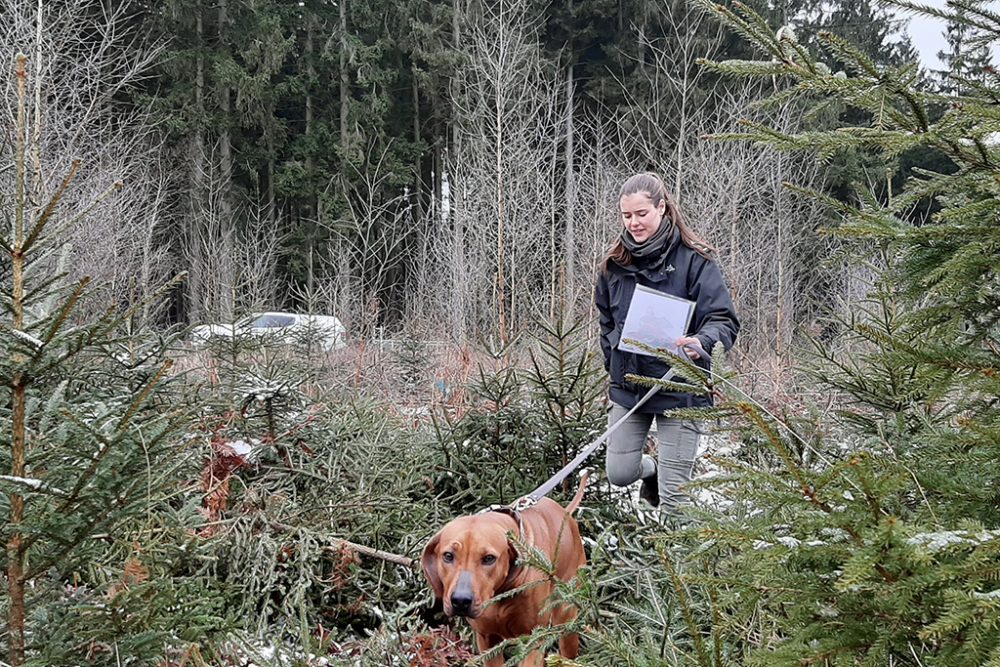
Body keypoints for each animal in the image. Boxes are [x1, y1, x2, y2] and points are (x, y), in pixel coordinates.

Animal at [420, 480, 584, 667]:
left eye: (489, 558)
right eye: (448, 556)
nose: (461, 600)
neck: (500, 592)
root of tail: (566, 514)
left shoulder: (533, 638)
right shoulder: (486, 639)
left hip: (566, 618)